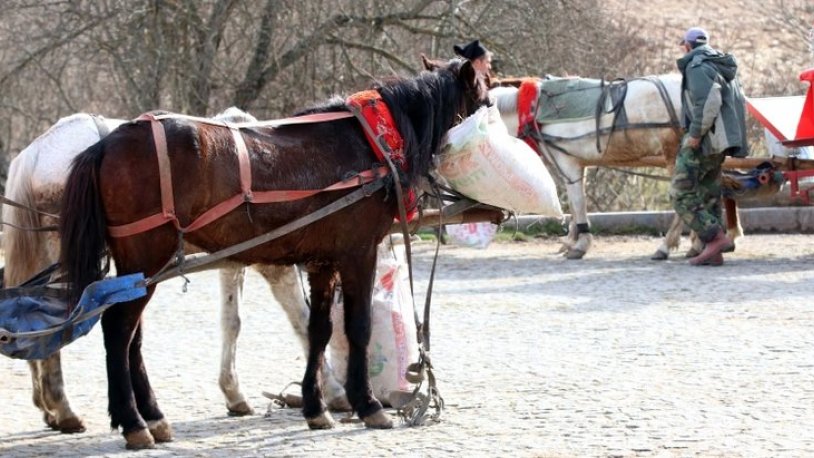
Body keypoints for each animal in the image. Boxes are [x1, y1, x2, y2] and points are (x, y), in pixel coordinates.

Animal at [1, 110, 350, 432]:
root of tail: (34, 154)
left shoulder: (233, 260)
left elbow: (232, 323)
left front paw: (233, 393)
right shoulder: (275, 265)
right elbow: (302, 320)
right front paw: (333, 394)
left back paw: (51, 407)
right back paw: (66, 409)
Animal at [59, 59, 490, 450]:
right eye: (485, 97)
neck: (369, 144)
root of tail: (108, 142)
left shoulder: (322, 261)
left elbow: (318, 330)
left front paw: (316, 407)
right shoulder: (358, 252)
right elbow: (358, 328)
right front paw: (367, 404)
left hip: (139, 267)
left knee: (133, 337)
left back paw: (152, 416)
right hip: (146, 256)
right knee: (119, 330)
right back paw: (133, 423)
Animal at [490, 77, 744, 260]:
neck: (534, 110)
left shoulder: (568, 164)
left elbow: (577, 203)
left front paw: (580, 243)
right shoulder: (578, 164)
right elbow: (575, 204)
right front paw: (571, 240)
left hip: (676, 158)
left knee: (684, 199)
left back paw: (667, 246)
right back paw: (703, 243)